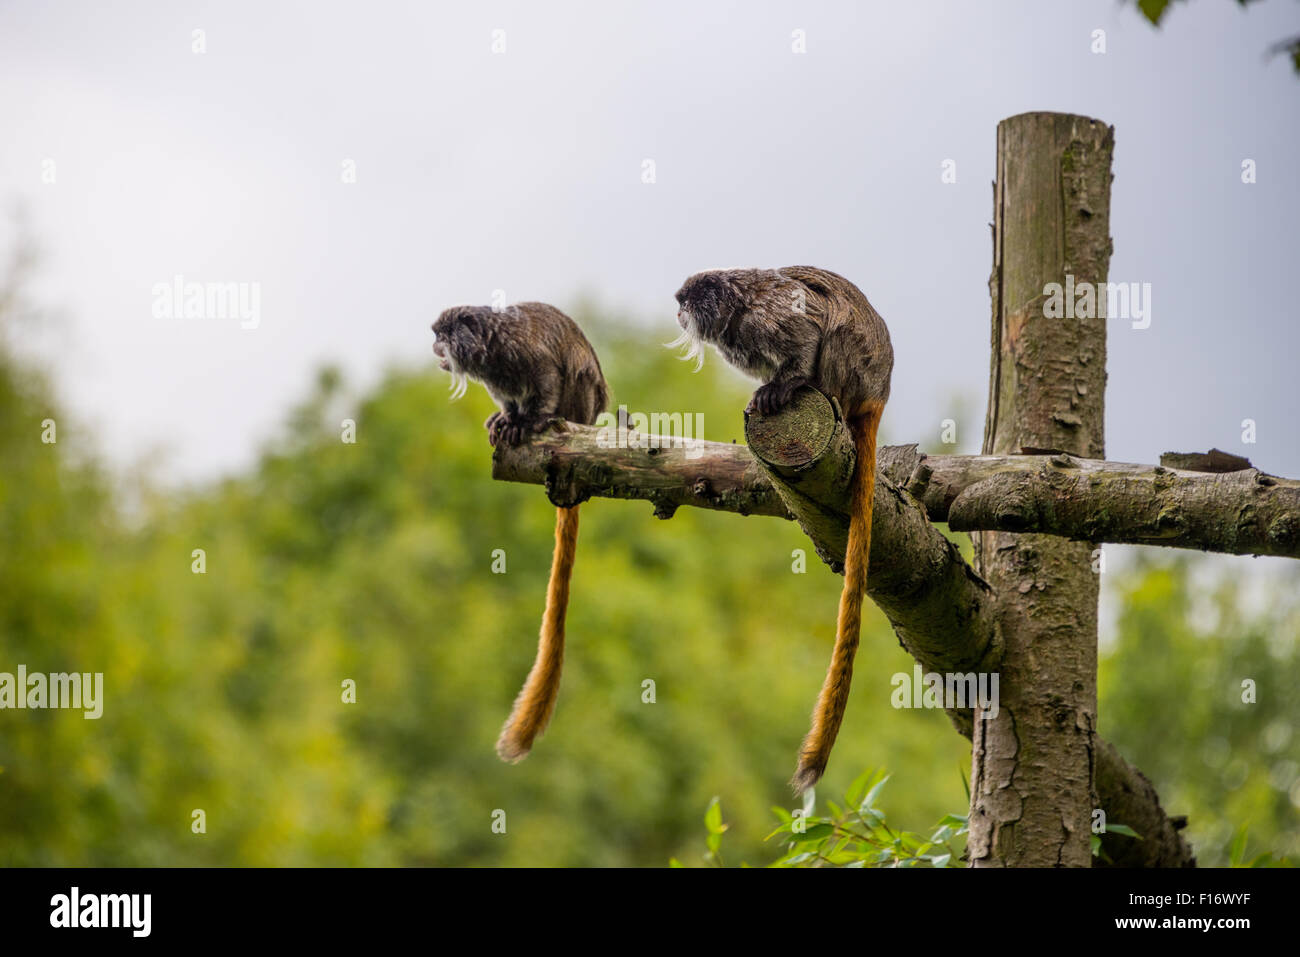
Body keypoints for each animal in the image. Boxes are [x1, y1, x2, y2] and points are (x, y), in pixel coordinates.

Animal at [428, 299, 605, 764]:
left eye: (443, 335)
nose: (435, 347)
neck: (490, 351)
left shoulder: (525, 354)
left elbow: (546, 378)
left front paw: (533, 420)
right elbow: (509, 399)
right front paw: (506, 417)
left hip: (583, 401)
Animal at [670, 267, 894, 790]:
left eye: (687, 302)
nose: (677, 312)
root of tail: (879, 390)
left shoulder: (764, 318)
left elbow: (806, 334)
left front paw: (784, 386)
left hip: (853, 366)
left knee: (832, 335)